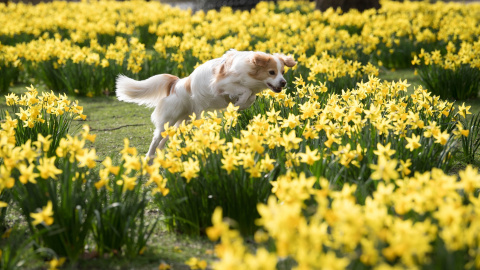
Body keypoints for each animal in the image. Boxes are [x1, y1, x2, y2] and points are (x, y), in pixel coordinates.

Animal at [116, 50, 296, 158]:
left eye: (283, 72)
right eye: (271, 72)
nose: (284, 82)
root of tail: (177, 84)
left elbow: (250, 97)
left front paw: (239, 105)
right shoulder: (220, 85)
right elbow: (244, 91)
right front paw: (239, 101)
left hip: (182, 121)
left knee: (164, 139)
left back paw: (157, 157)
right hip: (169, 120)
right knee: (156, 138)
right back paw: (149, 158)